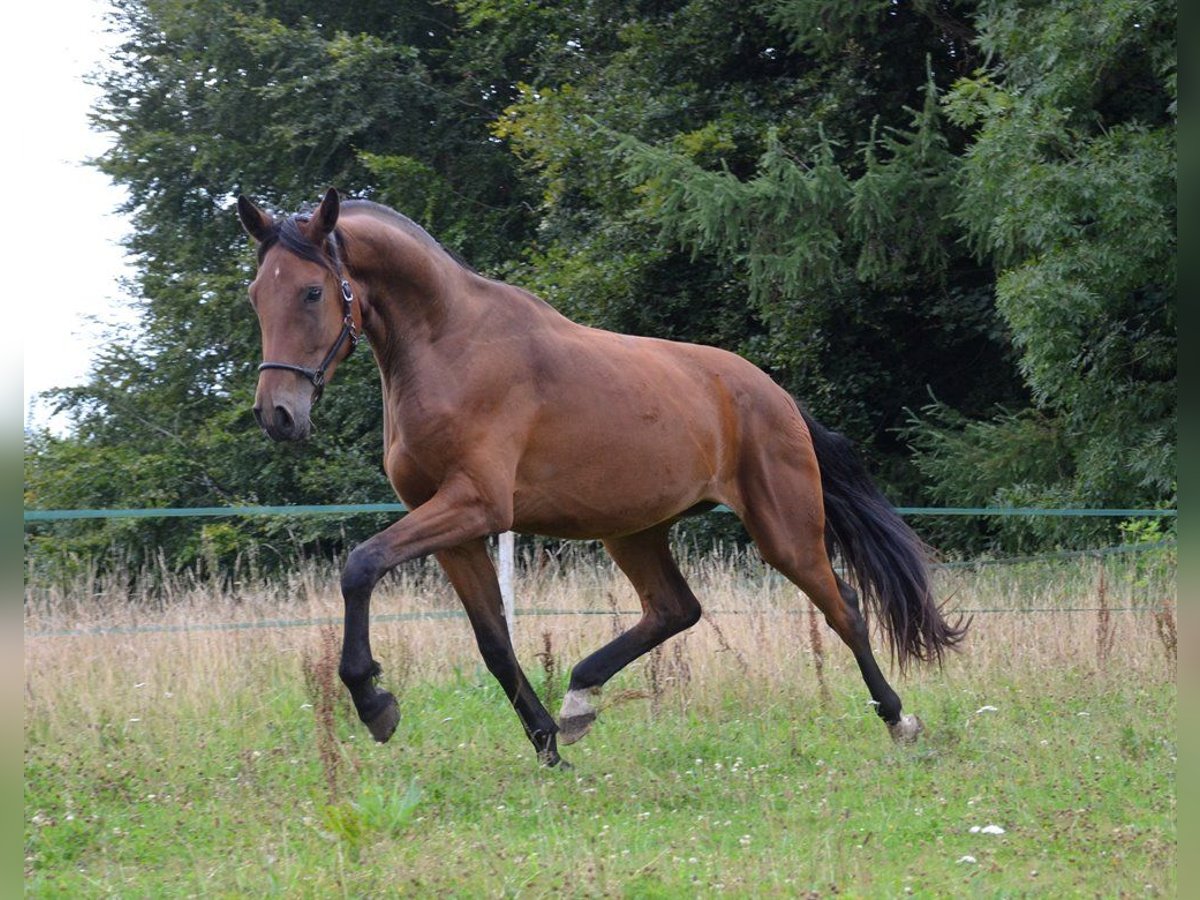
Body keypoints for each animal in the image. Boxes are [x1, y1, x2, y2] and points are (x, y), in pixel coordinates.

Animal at [236, 188, 964, 768]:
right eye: (255, 296)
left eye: (311, 292)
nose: (277, 415)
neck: (450, 348)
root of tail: (774, 394)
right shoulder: (454, 531)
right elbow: (493, 642)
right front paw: (546, 746)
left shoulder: (474, 506)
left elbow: (360, 565)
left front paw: (373, 700)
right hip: (635, 530)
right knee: (676, 609)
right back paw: (579, 700)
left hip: (784, 529)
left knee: (845, 609)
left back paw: (900, 720)